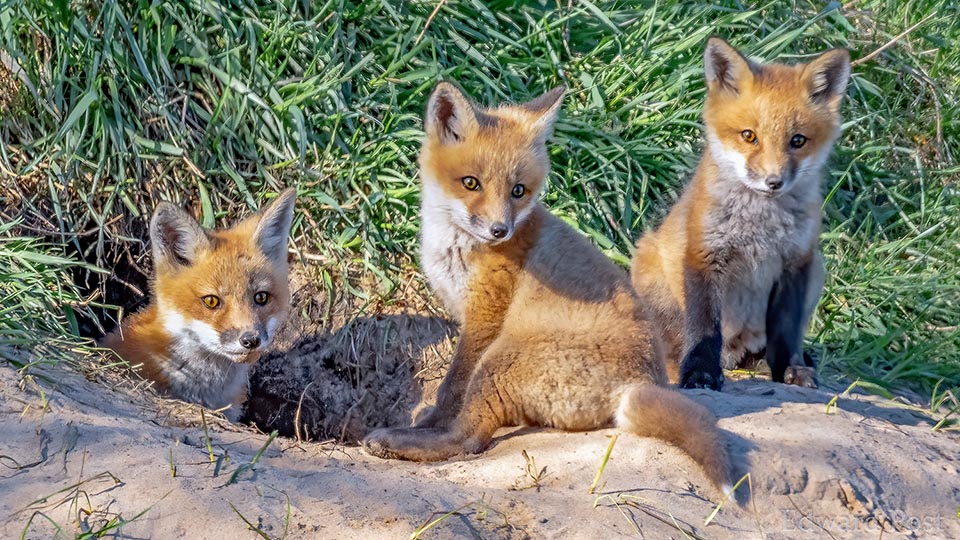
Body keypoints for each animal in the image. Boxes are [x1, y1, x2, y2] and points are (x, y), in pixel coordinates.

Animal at [364, 81, 732, 498]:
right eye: (471, 183)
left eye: (518, 191)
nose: (499, 231)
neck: (456, 246)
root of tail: (637, 385)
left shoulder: (484, 316)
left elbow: (451, 388)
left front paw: (428, 424)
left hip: (500, 358)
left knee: (469, 440)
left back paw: (396, 442)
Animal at [632, 39, 852, 392]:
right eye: (749, 136)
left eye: (798, 140)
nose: (773, 181)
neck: (759, 230)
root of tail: (734, 354)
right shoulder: (704, 254)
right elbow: (704, 329)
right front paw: (700, 374)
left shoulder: (795, 262)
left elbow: (786, 333)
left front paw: (790, 369)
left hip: (817, 270)